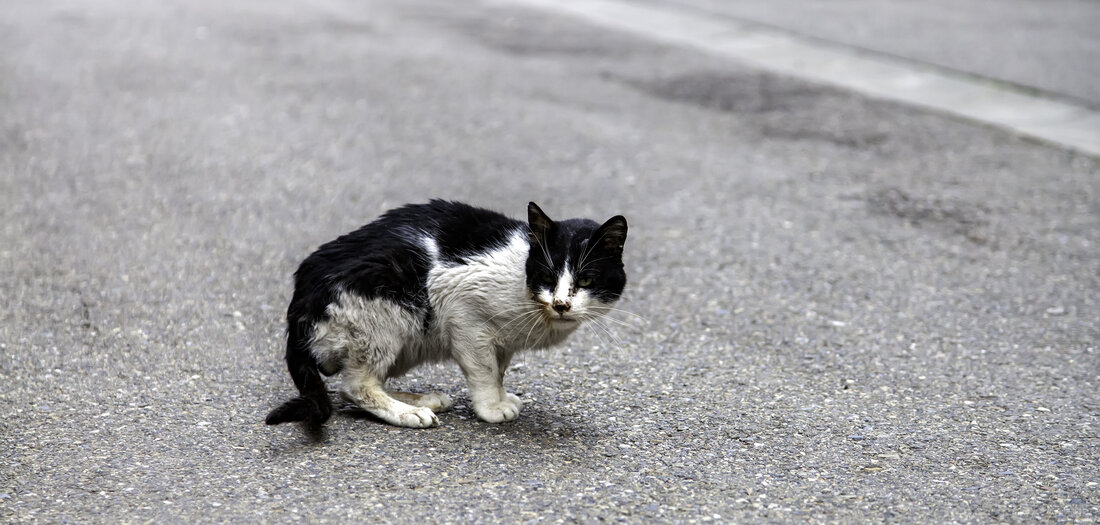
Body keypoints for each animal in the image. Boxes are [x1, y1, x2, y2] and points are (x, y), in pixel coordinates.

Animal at [264, 199, 629, 424]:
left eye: (586, 279)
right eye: (548, 277)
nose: (561, 304)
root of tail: (300, 300)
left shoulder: (503, 341)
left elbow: (499, 369)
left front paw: (501, 396)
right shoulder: (465, 314)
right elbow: (484, 370)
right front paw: (491, 407)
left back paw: (420, 399)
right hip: (387, 312)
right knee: (355, 386)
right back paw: (406, 413)